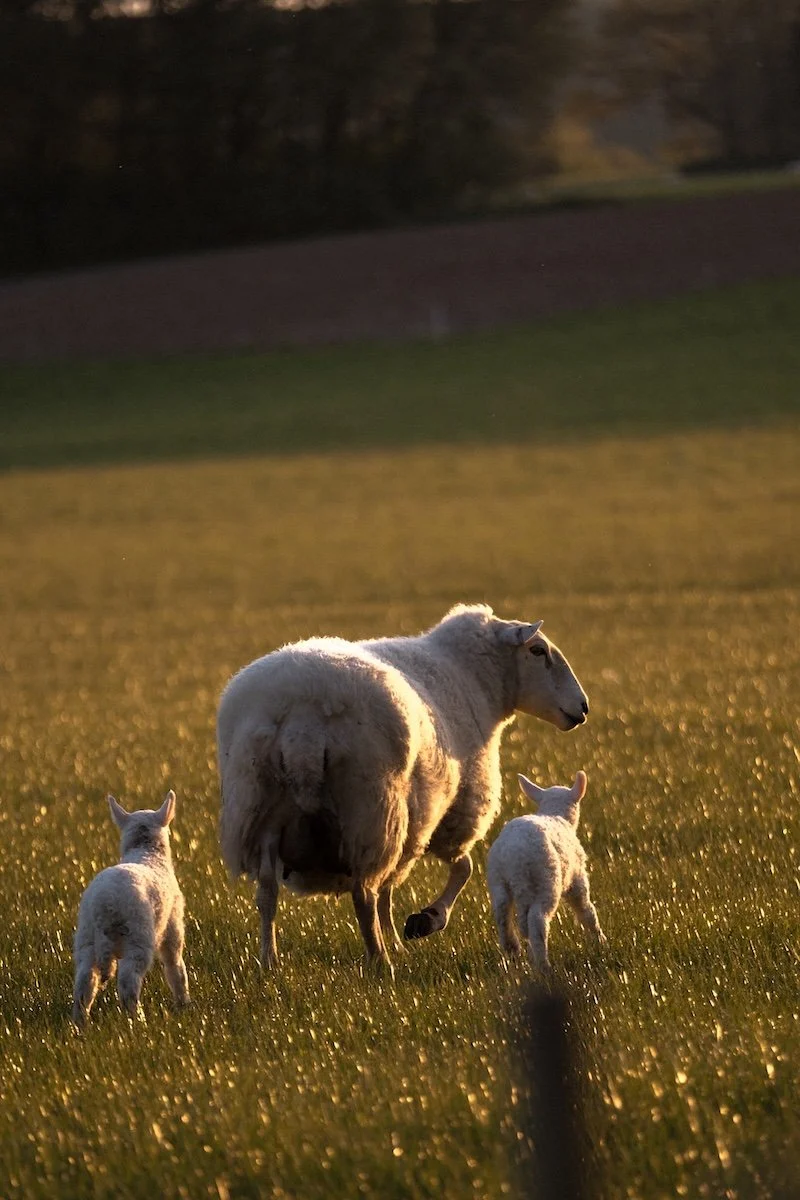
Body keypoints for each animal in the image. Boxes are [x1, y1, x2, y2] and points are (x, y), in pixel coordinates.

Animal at [72, 790, 190, 1027]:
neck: (146, 851)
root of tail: (104, 906)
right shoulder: (173, 926)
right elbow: (175, 967)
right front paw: (184, 1005)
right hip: (138, 936)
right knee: (128, 982)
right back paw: (138, 1021)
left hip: (86, 938)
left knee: (84, 982)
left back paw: (80, 1024)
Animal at [217, 603, 589, 974]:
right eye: (538, 651)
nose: (583, 708)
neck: (472, 676)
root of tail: (303, 723)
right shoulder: (452, 812)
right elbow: (461, 869)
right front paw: (426, 920)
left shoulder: (411, 823)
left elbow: (392, 887)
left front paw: (400, 937)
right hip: (371, 808)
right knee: (363, 893)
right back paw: (380, 961)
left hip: (259, 807)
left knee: (268, 892)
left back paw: (269, 960)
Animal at [486, 770, 605, 970]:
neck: (555, 814)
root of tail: (515, 856)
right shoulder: (577, 879)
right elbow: (587, 911)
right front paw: (600, 941)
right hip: (546, 882)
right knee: (537, 921)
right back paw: (544, 966)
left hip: (497, 879)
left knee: (502, 914)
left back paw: (513, 952)